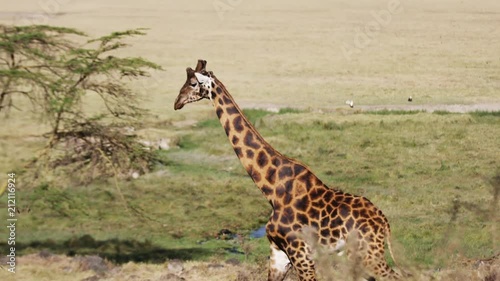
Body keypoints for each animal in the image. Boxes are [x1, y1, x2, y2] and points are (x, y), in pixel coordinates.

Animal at [174, 59, 404, 280]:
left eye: (193, 83)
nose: (177, 102)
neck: (271, 188)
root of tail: (384, 222)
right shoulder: (278, 252)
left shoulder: (300, 253)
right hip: (358, 255)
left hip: (369, 253)